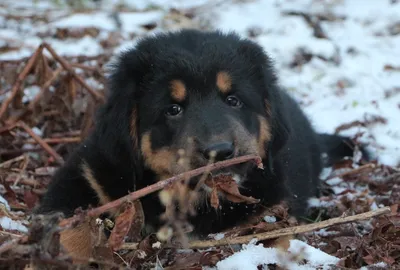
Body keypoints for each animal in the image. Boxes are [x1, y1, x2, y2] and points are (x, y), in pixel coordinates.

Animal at [35, 30, 366, 253]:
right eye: (173, 109)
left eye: (233, 100)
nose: (220, 151)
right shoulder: (87, 172)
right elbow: (71, 223)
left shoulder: (273, 208)